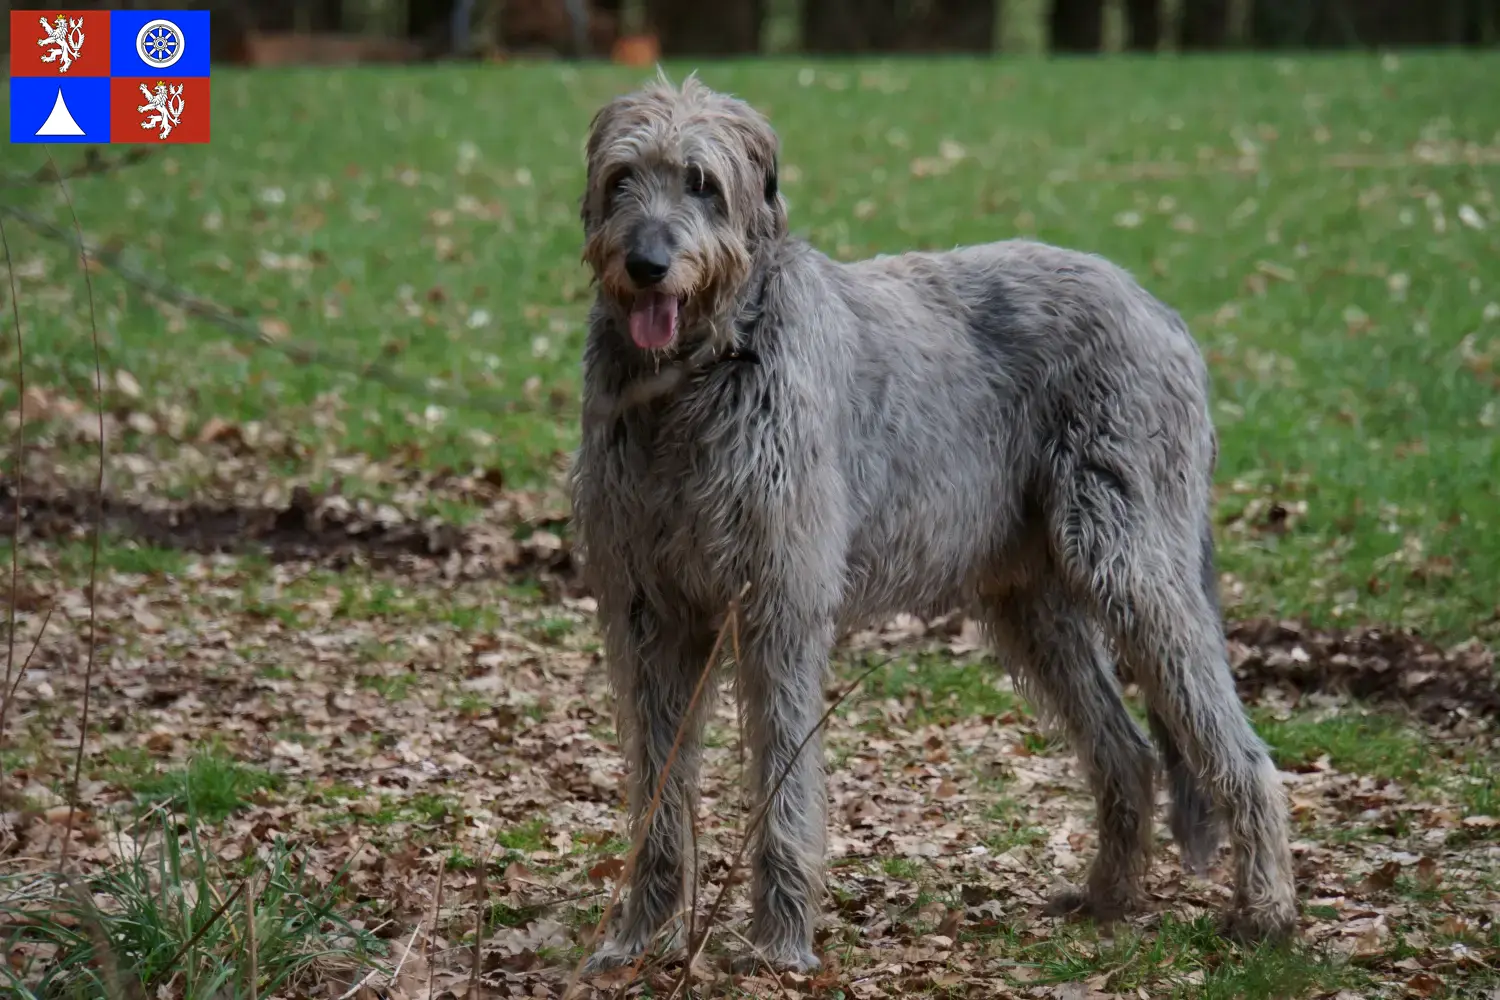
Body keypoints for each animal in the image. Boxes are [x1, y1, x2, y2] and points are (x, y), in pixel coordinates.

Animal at [567, 72, 1296, 977]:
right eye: (623, 178)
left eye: (703, 182)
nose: (647, 265)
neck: (697, 377)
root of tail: (1162, 312)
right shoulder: (649, 611)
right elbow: (657, 785)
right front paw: (638, 936)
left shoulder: (780, 604)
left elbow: (784, 783)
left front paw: (780, 944)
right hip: (1035, 601)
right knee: (1126, 751)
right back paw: (1107, 898)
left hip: (1133, 558)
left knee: (1240, 749)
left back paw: (1266, 909)